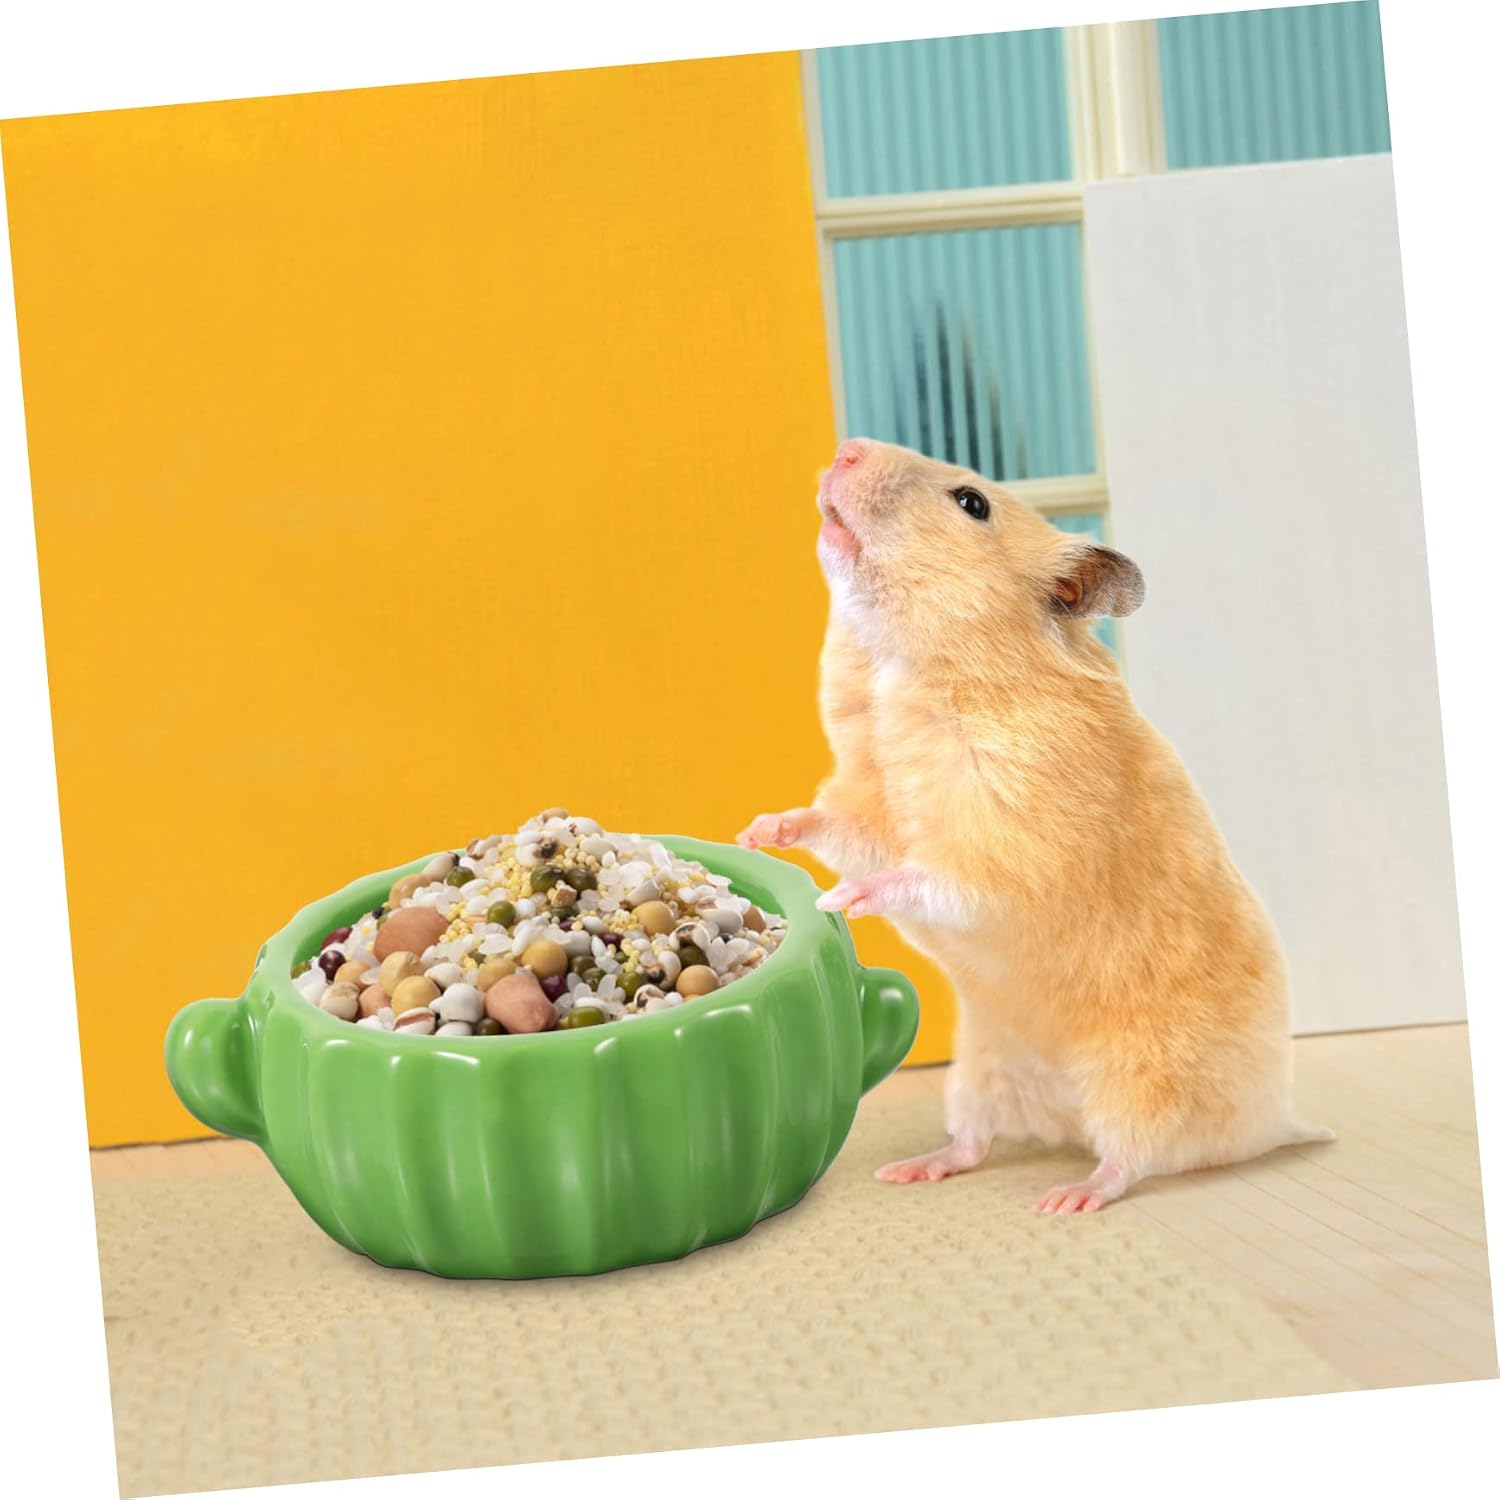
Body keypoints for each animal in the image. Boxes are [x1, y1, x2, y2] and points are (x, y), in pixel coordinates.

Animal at [738, 437, 1331, 1214]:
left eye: (971, 502)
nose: (847, 448)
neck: (903, 666)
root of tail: (1274, 1119)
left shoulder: (1013, 847)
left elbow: (931, 878)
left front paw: (843, 899)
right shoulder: (869, 805)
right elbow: (830, 823)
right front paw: (756, 833)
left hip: (1140, 1079)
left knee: (1134, 1158)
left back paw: (1067, 1198)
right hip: (983, 1064)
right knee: (974, 1142)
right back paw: (911, 1169)